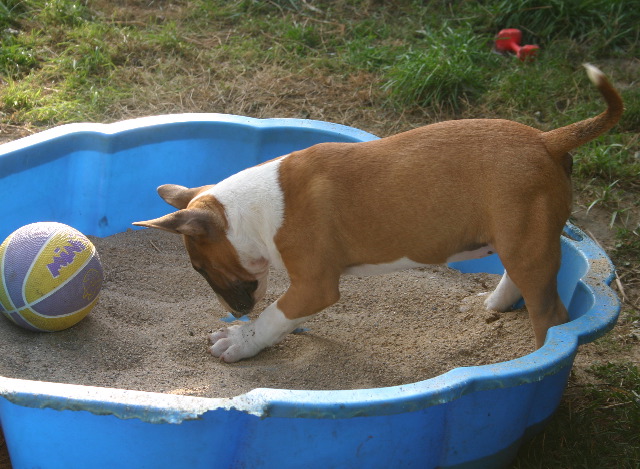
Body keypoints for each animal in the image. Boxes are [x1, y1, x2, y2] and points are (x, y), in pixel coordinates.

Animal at [134, 64, 620, 362]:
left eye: (199, 268)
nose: (232, 312)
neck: (248, 209)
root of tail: (546, 139)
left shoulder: (314, 286)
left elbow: (274, 315)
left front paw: (240, 342)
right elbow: (284, 317)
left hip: (526, 244)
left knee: (550, 319)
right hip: (517, 237)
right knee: (515, 278)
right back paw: (491, 304)